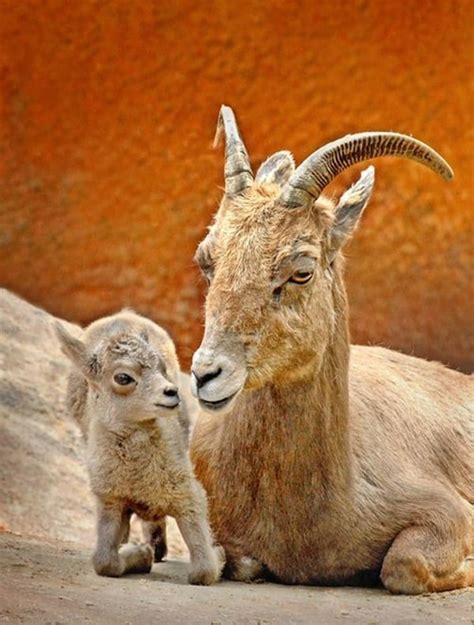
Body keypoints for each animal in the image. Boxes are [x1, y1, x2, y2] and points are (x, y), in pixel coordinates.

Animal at [56, 310, 223, 584]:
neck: (140, 480)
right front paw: (140, 553)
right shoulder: (110, 500)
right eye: (123, 377)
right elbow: (103, 561)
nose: (172, 392)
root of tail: (125, 315)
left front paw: (219, 554)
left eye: (162, 368)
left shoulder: (189, 497)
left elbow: (203, 570)